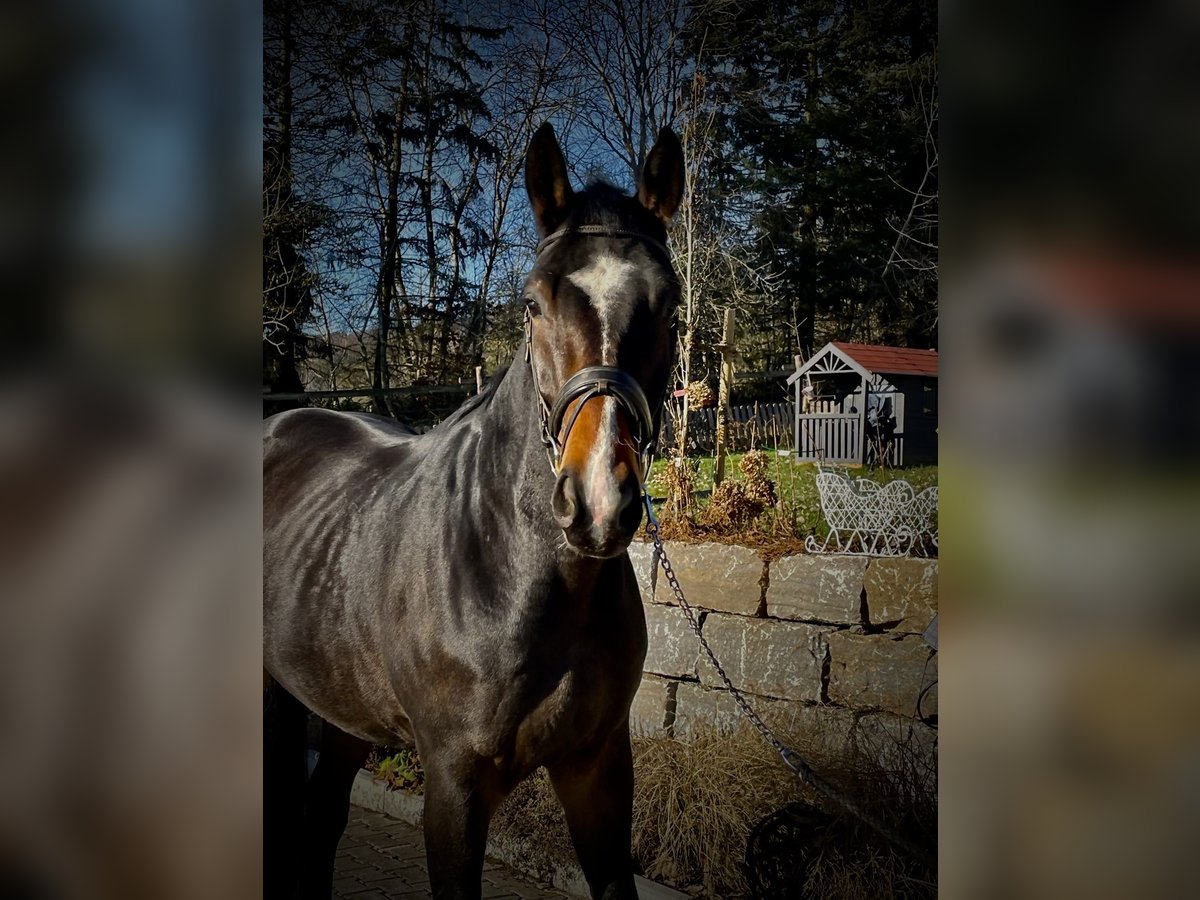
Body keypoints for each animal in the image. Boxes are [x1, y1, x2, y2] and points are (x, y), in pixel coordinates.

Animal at [266, 121, 686, 900]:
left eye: (670, 305)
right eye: (533, 304)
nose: (597, 501)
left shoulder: (599, 771)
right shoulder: (454, 788)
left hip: (342, 711)